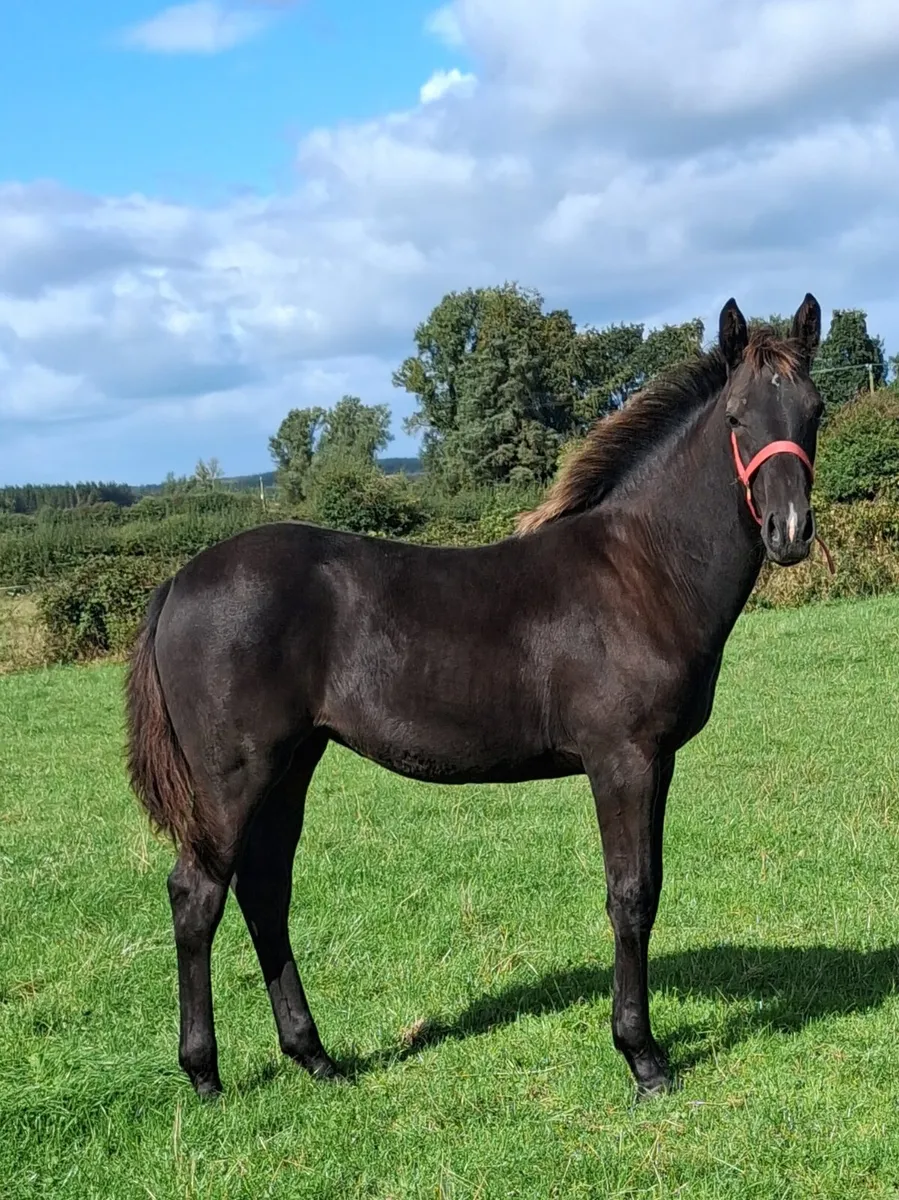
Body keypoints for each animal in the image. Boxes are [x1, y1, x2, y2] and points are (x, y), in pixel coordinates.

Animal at [125, 293, 826, 1099]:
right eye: (738, 416)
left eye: (814, 409)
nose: (789, 532)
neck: (642, 569)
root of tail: (178, 582)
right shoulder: (621, 759)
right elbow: (629, 893)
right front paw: (642, 1057)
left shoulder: (659, 759)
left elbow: (648, 889)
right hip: (232, 777)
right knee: (196, 894)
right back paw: (204, 1074)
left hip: (293, 764)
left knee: (265, 889)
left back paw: (316, 1057)